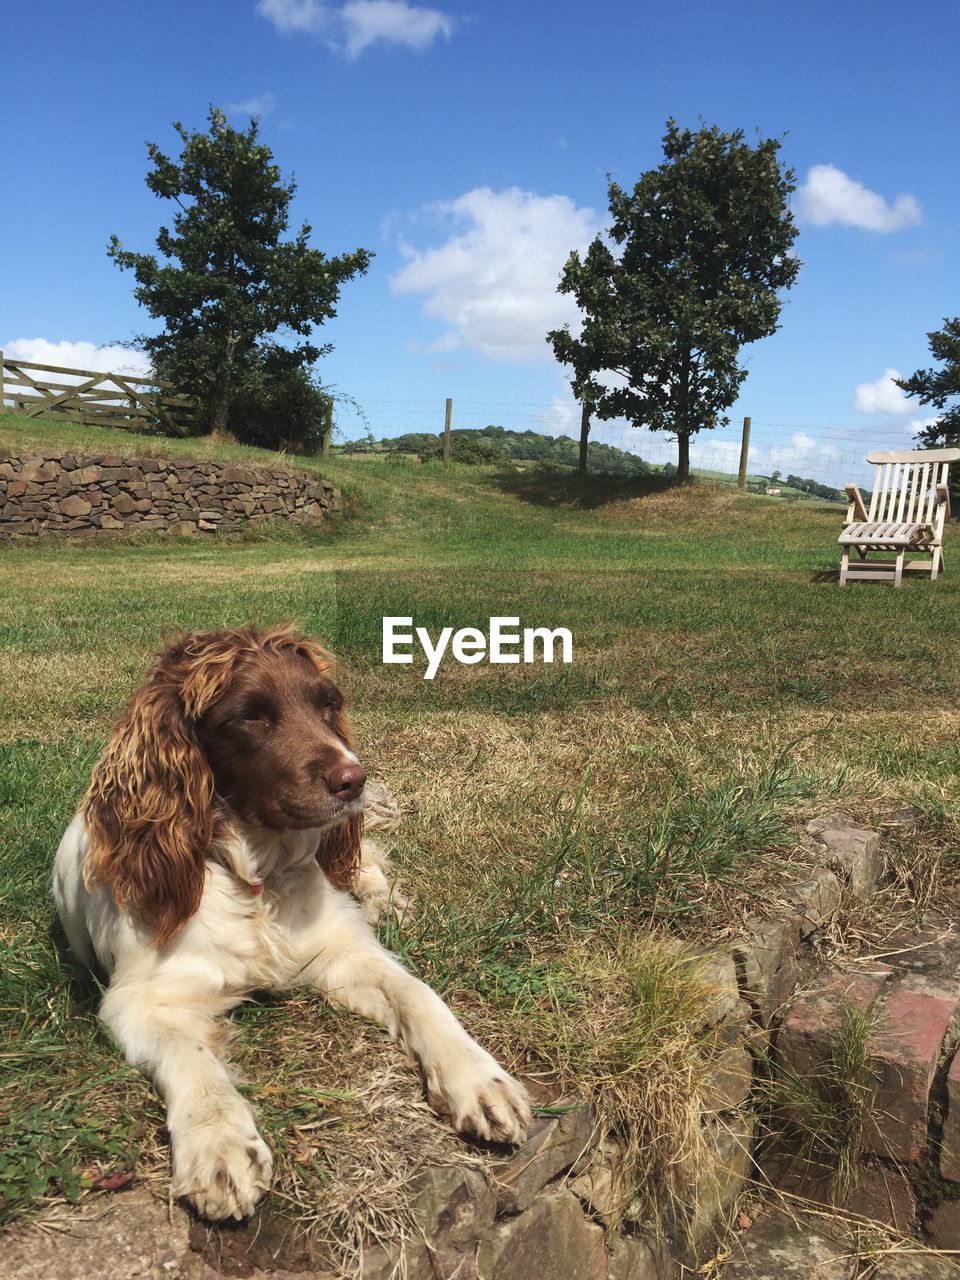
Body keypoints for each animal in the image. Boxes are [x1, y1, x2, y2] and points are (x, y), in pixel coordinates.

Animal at [52, 627, 529, 1218]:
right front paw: (219, 1144)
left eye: (328, 705)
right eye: (251, 716)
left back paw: (386, 899)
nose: (354, 780)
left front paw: (479, 1079)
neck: (253, 881)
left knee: (365, 863)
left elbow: (420, 996)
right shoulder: (139, 998)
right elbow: (190, 1057)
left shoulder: (347, 951)